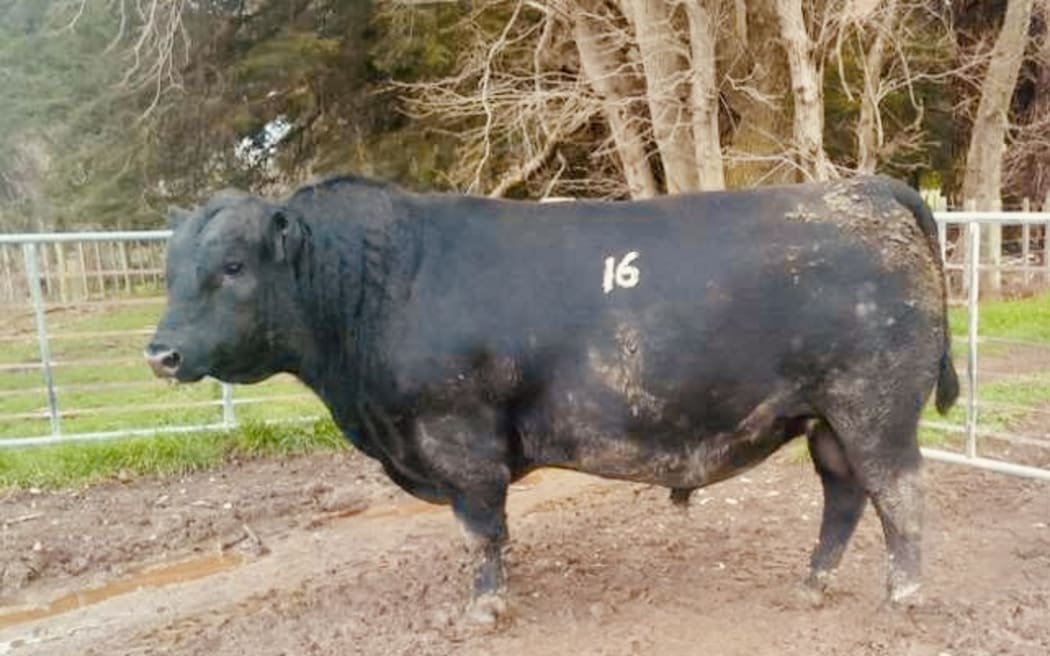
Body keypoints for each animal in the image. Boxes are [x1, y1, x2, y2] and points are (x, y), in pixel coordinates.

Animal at [146, 174, 958, 624]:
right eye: (170, 269)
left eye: (232, 265)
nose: (160, 352)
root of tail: (866, 189)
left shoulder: (458, 437)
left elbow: (481, 530)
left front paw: (484, 606)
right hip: (826, 419)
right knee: (845, 497)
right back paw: (812, 586)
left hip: (874, 410)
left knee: (900, 495)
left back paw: (905, 596)